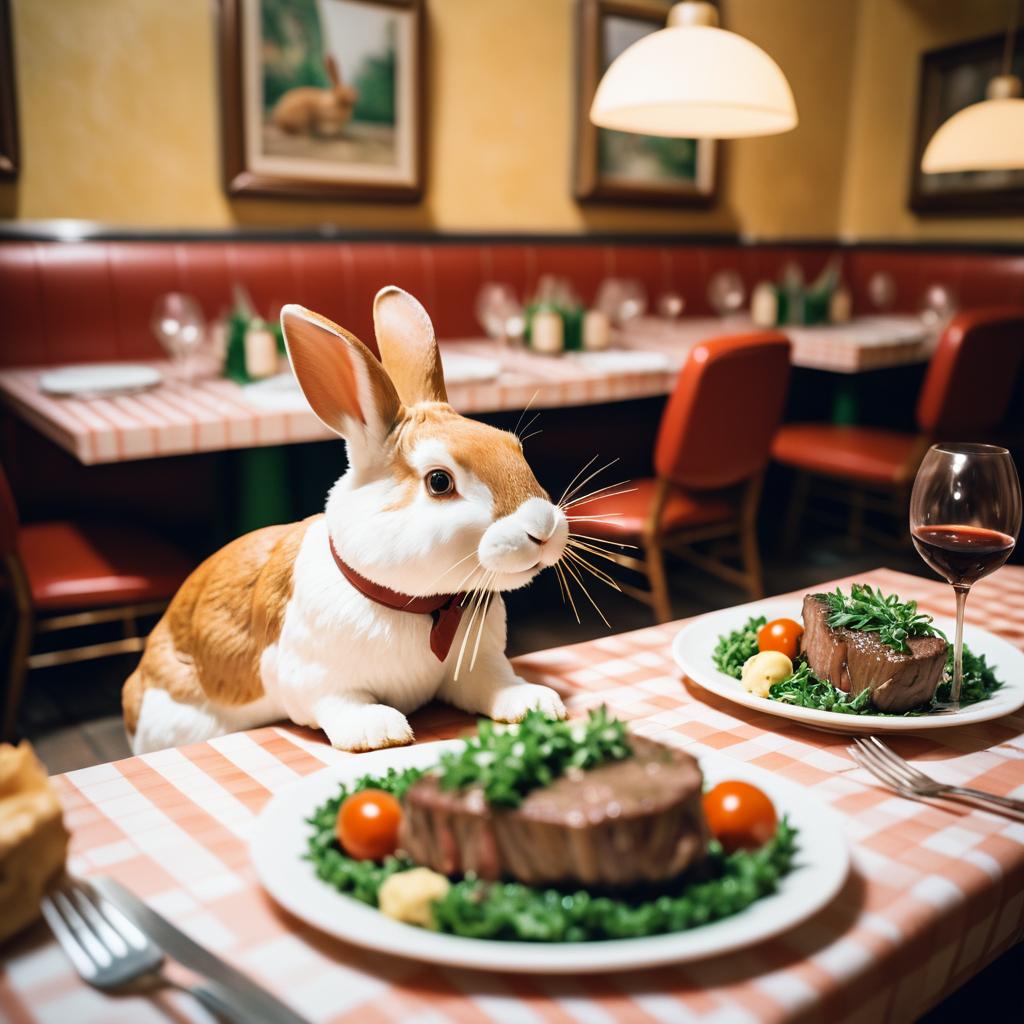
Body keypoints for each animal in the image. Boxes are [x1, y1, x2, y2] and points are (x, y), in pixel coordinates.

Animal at [121, 284, 569, 757]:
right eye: (439, 481)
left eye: (513, 446)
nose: (543, 527)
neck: (420, 608)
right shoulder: (315, 679)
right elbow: (339, 703)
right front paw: (378, 730)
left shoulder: (477, 667)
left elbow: (496, 682)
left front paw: (534, 701)